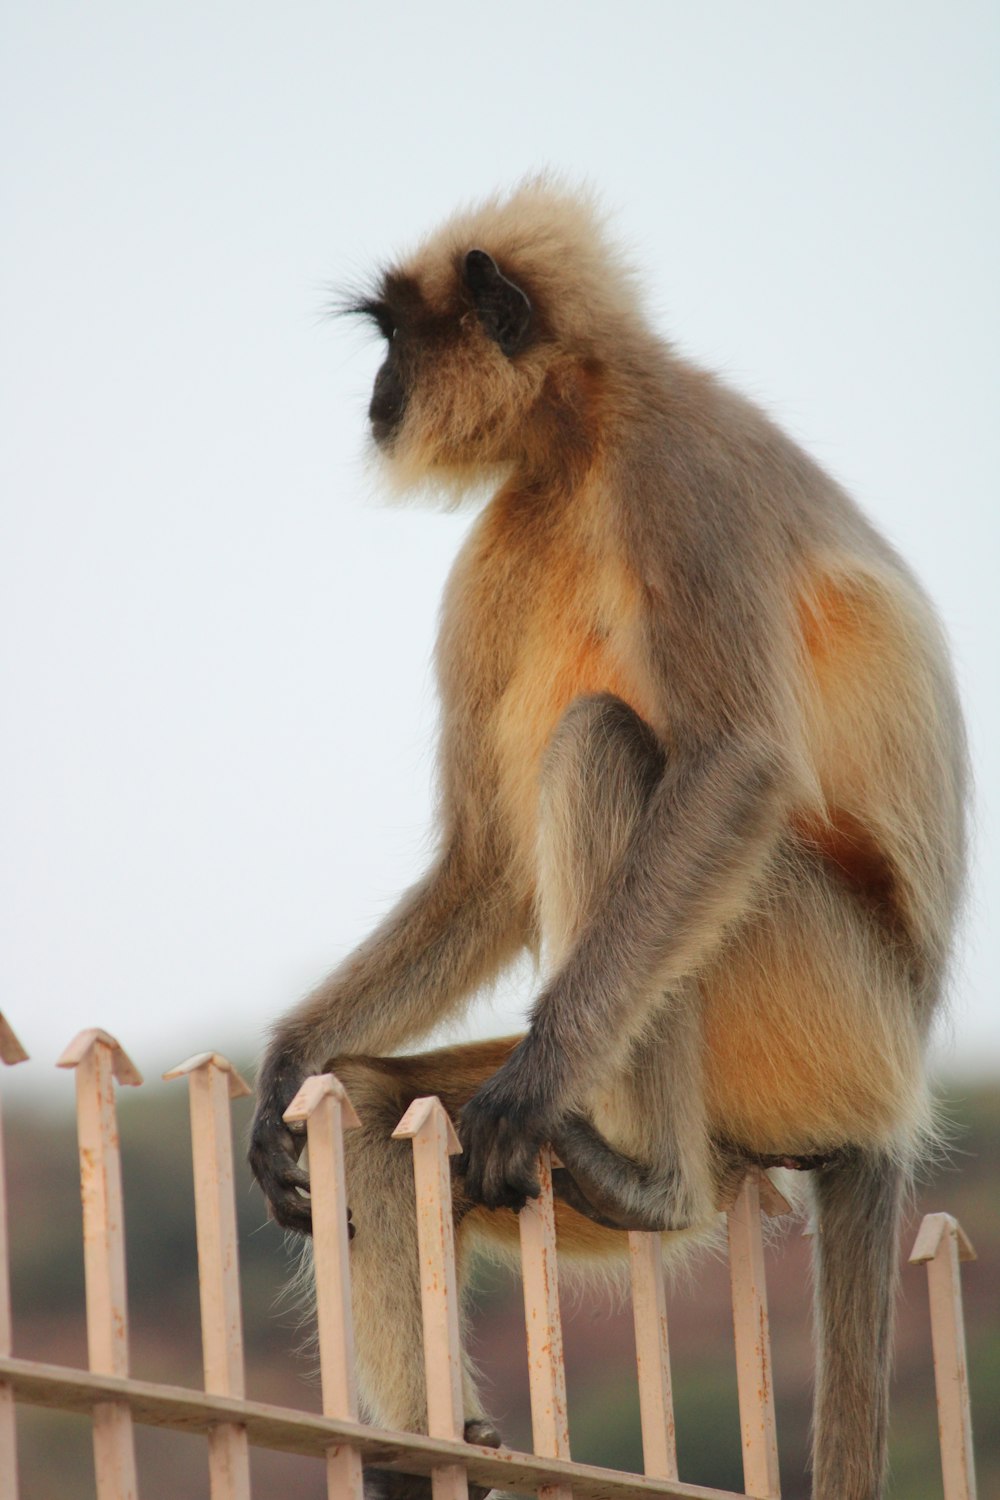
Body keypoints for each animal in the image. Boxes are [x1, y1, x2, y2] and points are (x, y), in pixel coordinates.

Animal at [250, 178, 971, 1500]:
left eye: (392, 340)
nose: (375, 396)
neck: (581, 438)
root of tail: (889, 1101)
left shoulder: (679, 469)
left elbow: (733, 762)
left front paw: (532, 1084)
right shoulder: (507, 527)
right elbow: (485, 865)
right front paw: (287, 1064)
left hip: (826, 999)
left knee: (606, 748)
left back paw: (655, 1180)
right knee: (377, 1117)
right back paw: (431, 1449)